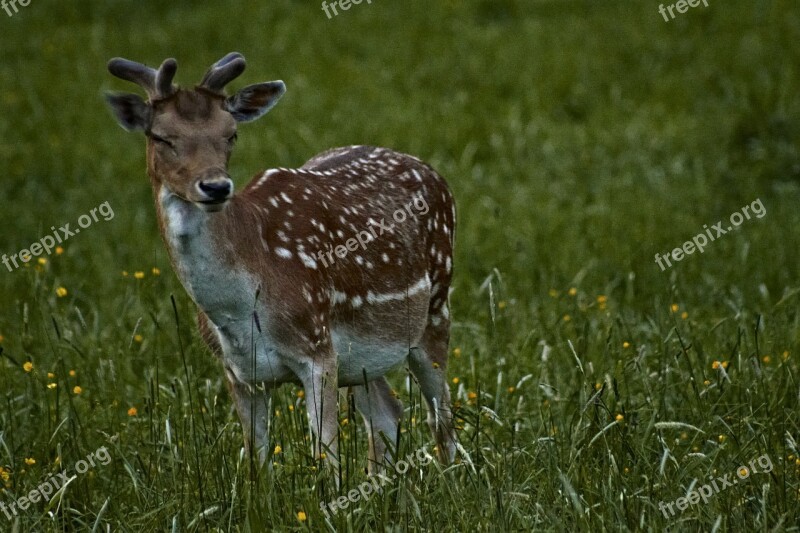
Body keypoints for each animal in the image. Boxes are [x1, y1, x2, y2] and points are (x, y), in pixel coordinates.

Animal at [105, 52, 456, 472]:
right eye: (161, 136)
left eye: (231, 134)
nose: (216, 187)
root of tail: (430, 169)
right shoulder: (237, 370)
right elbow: (256, 463)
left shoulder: (318, 349)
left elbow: (327, 457)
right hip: (363, 358)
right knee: (389, 411)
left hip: (436, 306)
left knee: (441, 418)